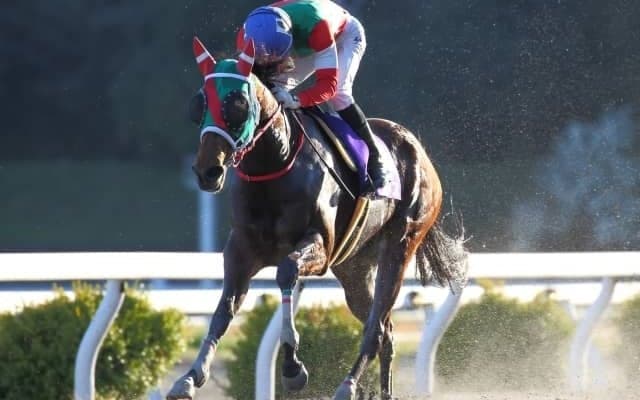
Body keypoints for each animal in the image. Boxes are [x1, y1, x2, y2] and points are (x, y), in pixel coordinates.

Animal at [166, 37, 468, 400]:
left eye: (236, 103)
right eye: (198, 104)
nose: (207, 171)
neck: (275, 164)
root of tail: (419, 150)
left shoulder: (320, 246)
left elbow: (285, 272)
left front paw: (292, 367)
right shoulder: (241, 249)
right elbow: (225, 307)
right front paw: (189, 377)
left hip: (400, 246)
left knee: (376, 327)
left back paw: (347, 385)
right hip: (354, 268)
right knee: (386, 329)